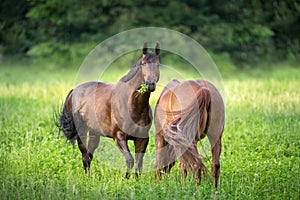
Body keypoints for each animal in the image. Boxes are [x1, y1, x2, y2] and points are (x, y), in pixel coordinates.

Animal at [59, 43, 161, 178]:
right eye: (143, 63)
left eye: (158, 64)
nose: (150, 84)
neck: (132, 105)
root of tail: (73, 91)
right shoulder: (119, 136)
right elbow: (130, 160)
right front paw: (126, 179)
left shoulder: (142, 139)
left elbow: (139, 164)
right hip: (82, 132)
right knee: (85, 156)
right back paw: (88, 179)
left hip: (94, 133)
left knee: (89, 156)